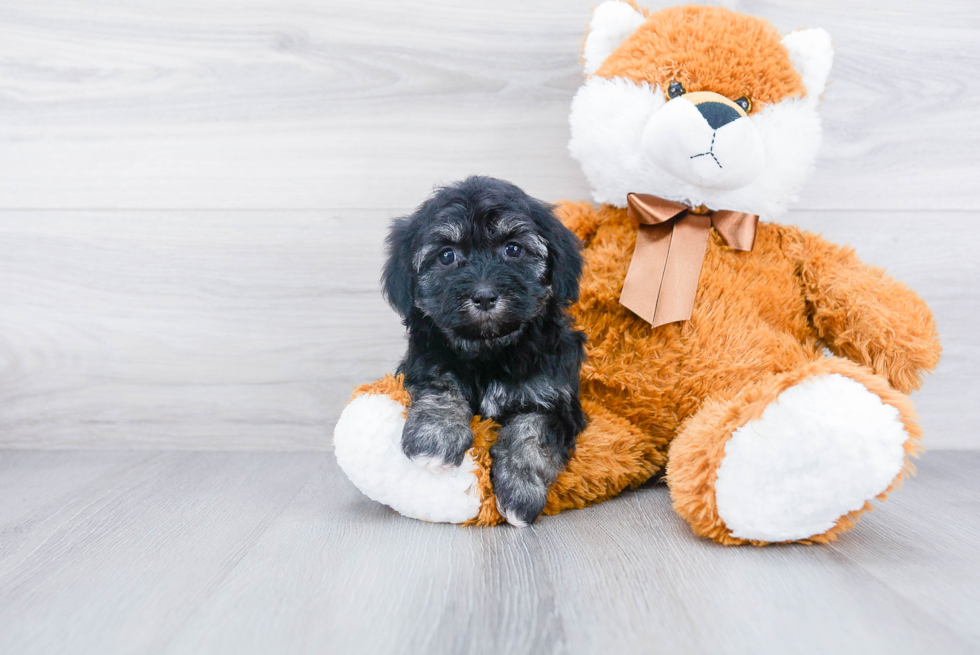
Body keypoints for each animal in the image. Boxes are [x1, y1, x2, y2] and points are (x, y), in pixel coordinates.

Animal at [378, 177, 584, 524]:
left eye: (513, 249)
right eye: (446, 256)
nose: (485, 295)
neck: (489, 349)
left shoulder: (555, 398)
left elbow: (531, 432)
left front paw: (520, 491)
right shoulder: (426, 362)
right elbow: (441, 385)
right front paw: (435, 438)